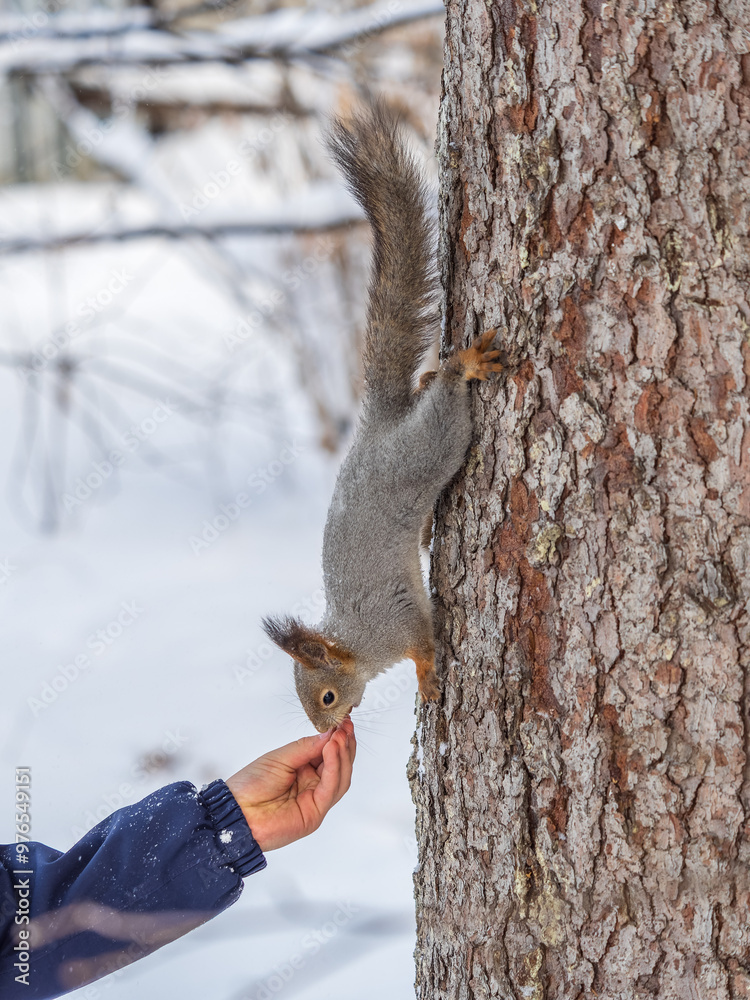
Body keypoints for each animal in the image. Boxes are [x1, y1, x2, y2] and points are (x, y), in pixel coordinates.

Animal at [262, 101, 502, 732]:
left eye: (324, 696)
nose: (326, 732)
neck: (358, 641)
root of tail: (376, 429)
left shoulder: (398, 621)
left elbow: (422, 643)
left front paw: (426, 679)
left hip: (428, 448)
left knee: (445, 406)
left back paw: (460, 367)